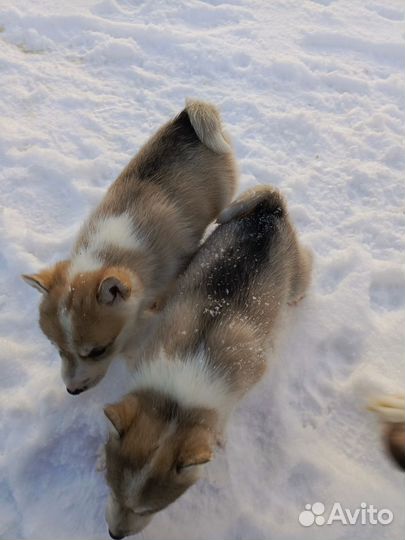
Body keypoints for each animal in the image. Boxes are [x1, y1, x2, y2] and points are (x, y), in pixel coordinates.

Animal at [102, 187, 310, 540]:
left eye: (150, 510)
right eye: (112, 491)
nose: (114, 535)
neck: (179, 399)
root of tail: (269, 208)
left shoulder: (252, 373)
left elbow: (225, 415)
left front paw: (219, 436)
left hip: (297, 277)